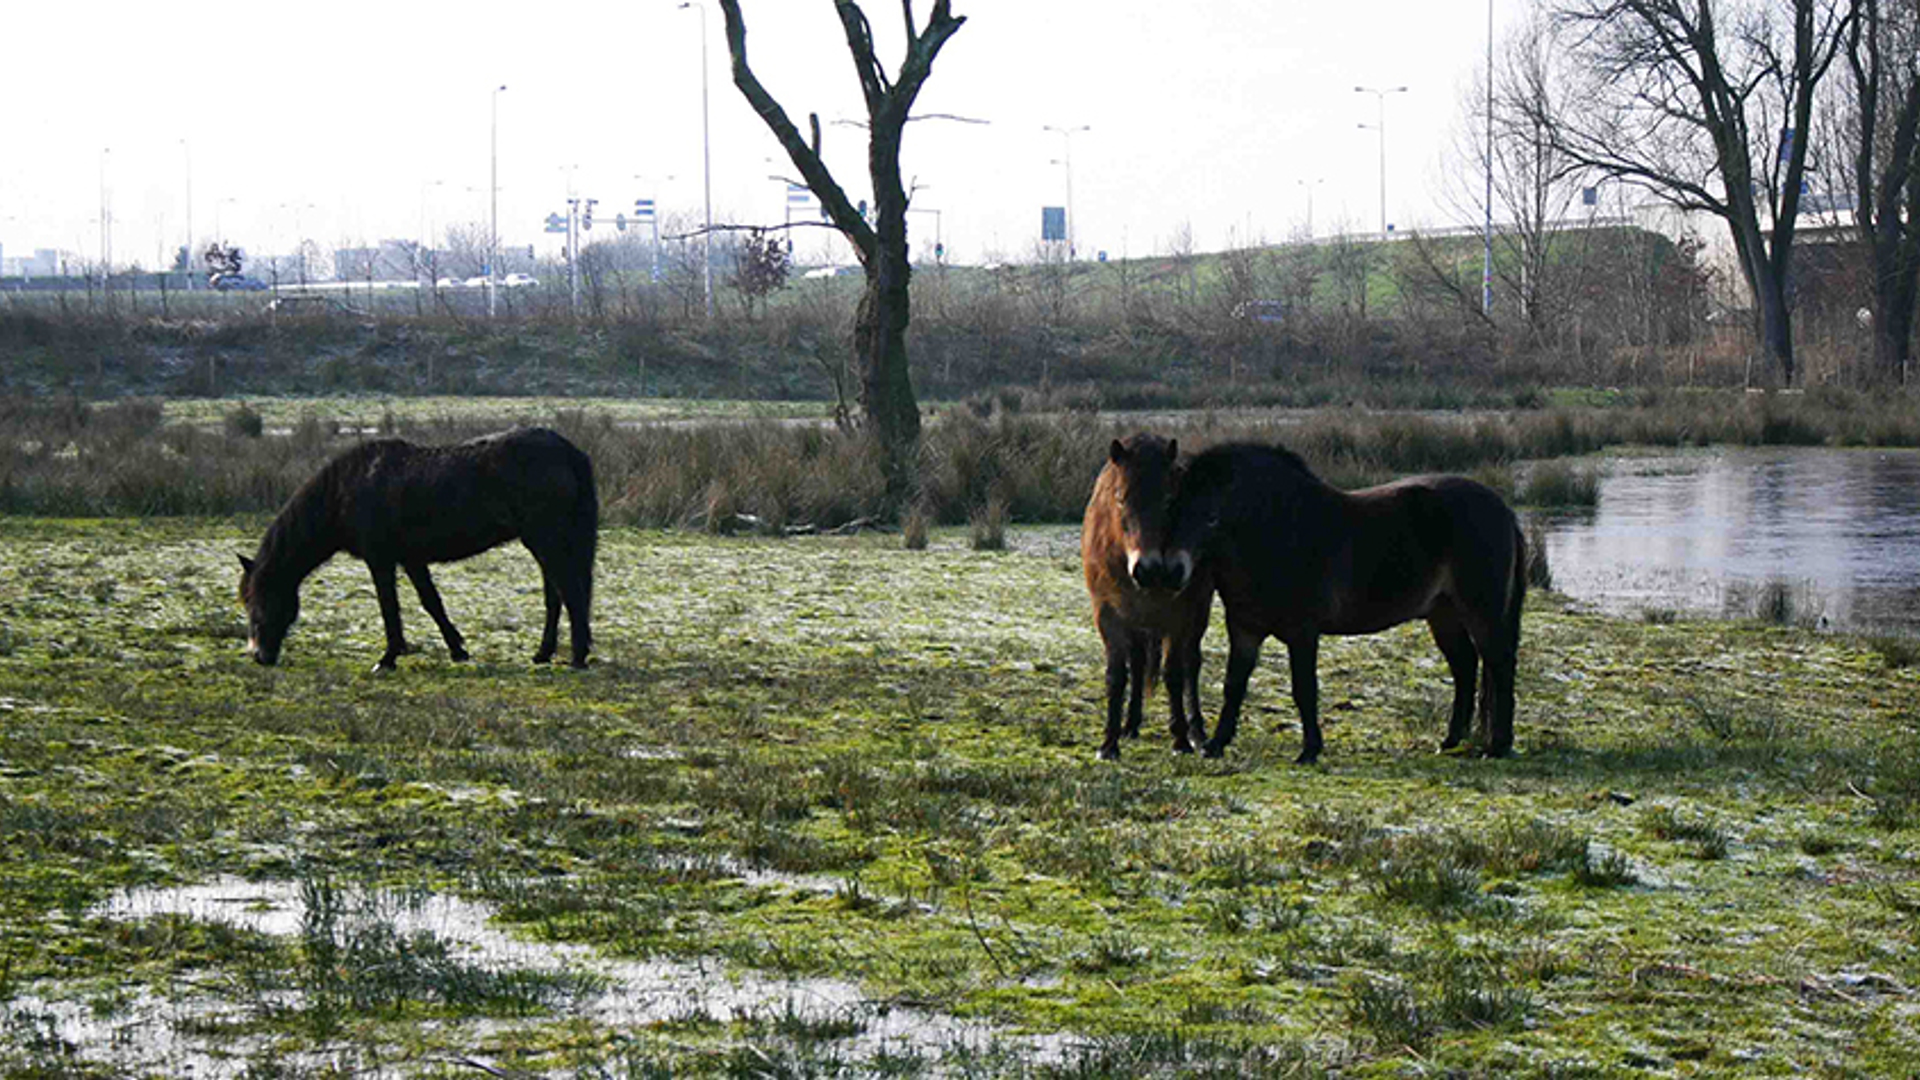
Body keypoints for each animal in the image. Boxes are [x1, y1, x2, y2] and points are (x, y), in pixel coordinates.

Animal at [241, 424, 599, 668]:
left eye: (259, 598)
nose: (259, 655)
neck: (347, 489)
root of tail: (567, 450)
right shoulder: (411, 558)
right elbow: (432, 602)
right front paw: (458, 650)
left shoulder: (380, 560)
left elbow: (389, 606)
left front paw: (387, 658)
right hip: (547, 540)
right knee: (556, 595)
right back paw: (543, 653)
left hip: (545, 539)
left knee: (569, 591)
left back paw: (577, 656)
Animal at [1082, 430, 1213, 757]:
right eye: (1120, 498)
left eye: (1169, 500)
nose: (1148, 569)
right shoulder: (1109, 615)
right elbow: (1117, 675)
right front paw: (1109, 743)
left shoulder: (1177, 617)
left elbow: (1174, 674)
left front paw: (1180, 739)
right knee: (1139, 663)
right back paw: (1130, 725)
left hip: (1199, 611)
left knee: (1191, 664)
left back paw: (1197, 733)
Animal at [1159, 441, 1520, 760]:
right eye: (1171, 509)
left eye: (1211, 517)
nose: (1173, 572)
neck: (1278, 531)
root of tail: (1502, 509)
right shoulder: (1244, 630)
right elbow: (1233, 686)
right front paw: (1215, 744)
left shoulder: (1303, 633)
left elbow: (1304, 689)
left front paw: (1309, 751)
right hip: (1443, 614)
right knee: (1465, 666)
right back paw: (1451, 741)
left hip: (1481, 612)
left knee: (1499, 664)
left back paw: (1497, 747)